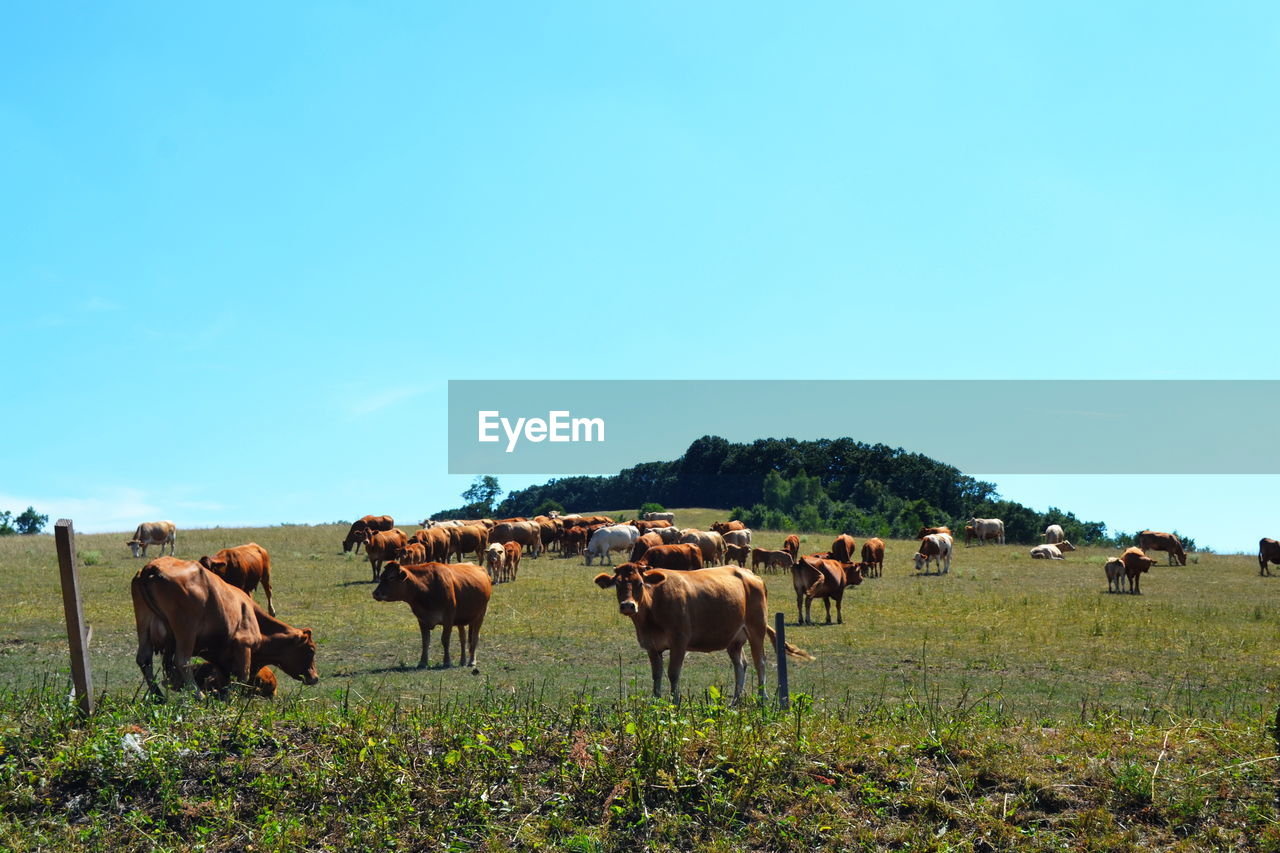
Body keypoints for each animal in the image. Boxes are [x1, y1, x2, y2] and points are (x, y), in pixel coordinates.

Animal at [130, 558, 320, 696]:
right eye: (311, 649)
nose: (315, 677)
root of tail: (153, 567)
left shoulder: (220, 660)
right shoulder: (243, 646)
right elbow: (242, 676)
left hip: (144, 625)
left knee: (145, 659)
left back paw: (158, 697)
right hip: (186, 630)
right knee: (182, 661)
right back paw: (198, 695)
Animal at [596, 563, 814, 696]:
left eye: (640, 583)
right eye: (617, 584)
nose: (628, 605)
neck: (652, 608)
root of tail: (751, 574)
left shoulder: (679, 641)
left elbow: (673, 673)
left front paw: (674, 704)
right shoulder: (651, 645)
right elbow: (656, 675)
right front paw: (656, 702)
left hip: (756, 628)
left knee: (759, 662)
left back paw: (762, 698)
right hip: (734, 638)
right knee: (741, 664)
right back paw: (735, 701)